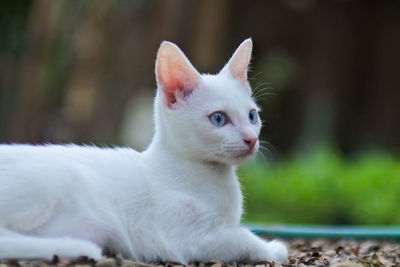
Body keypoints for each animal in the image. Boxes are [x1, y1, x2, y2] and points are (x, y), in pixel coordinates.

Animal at [0, 38, 288, 264]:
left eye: (252, 116)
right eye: (218, 119)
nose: (251, 139)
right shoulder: (187, 238)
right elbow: (243, 237)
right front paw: (274, 248)